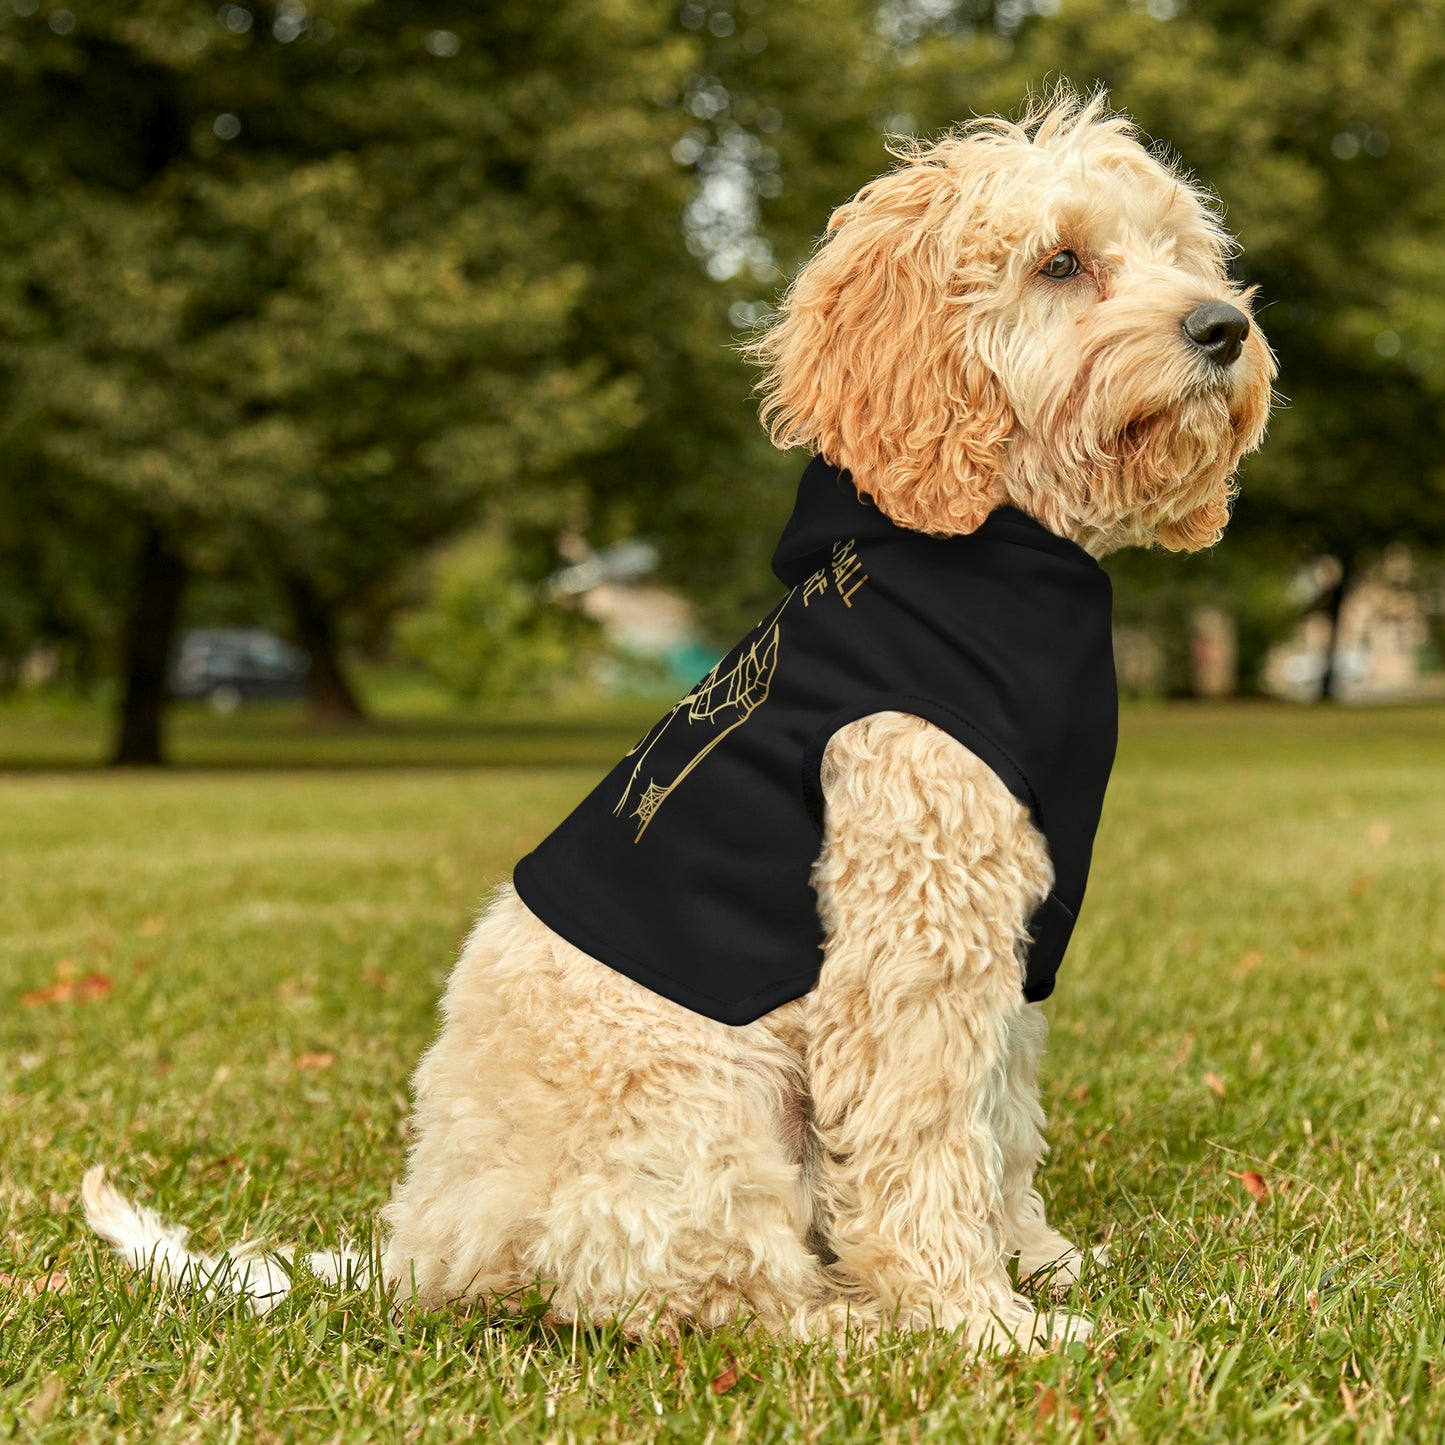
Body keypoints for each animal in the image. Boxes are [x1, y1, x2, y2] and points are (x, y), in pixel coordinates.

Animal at [84, 93, 1271, 1352]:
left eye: (1180, 251)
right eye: (1059, 262)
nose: (1223, 327)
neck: (983, 551)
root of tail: (424, 1246)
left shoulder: (1010, 938)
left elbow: (999, 1117)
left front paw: (1034, 1259)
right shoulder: (912, 934)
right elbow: (924, 1136)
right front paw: (976, 1319)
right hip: (706, 1101)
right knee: (700, 1291)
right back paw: (852, 1323)